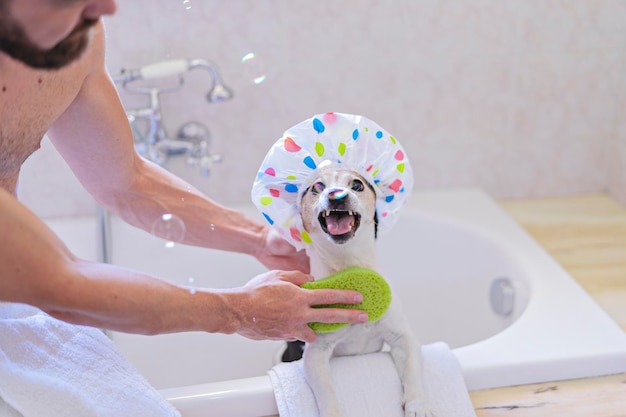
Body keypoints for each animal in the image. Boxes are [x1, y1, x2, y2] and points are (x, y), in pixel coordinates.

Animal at [296, 166, 432, 416]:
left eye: (357, 185)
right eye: (317, 188)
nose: (335, 195)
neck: (349, 264)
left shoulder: (403, 338)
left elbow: (412, 371)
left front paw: (418, 404)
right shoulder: (315, 353)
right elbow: (326, 391)